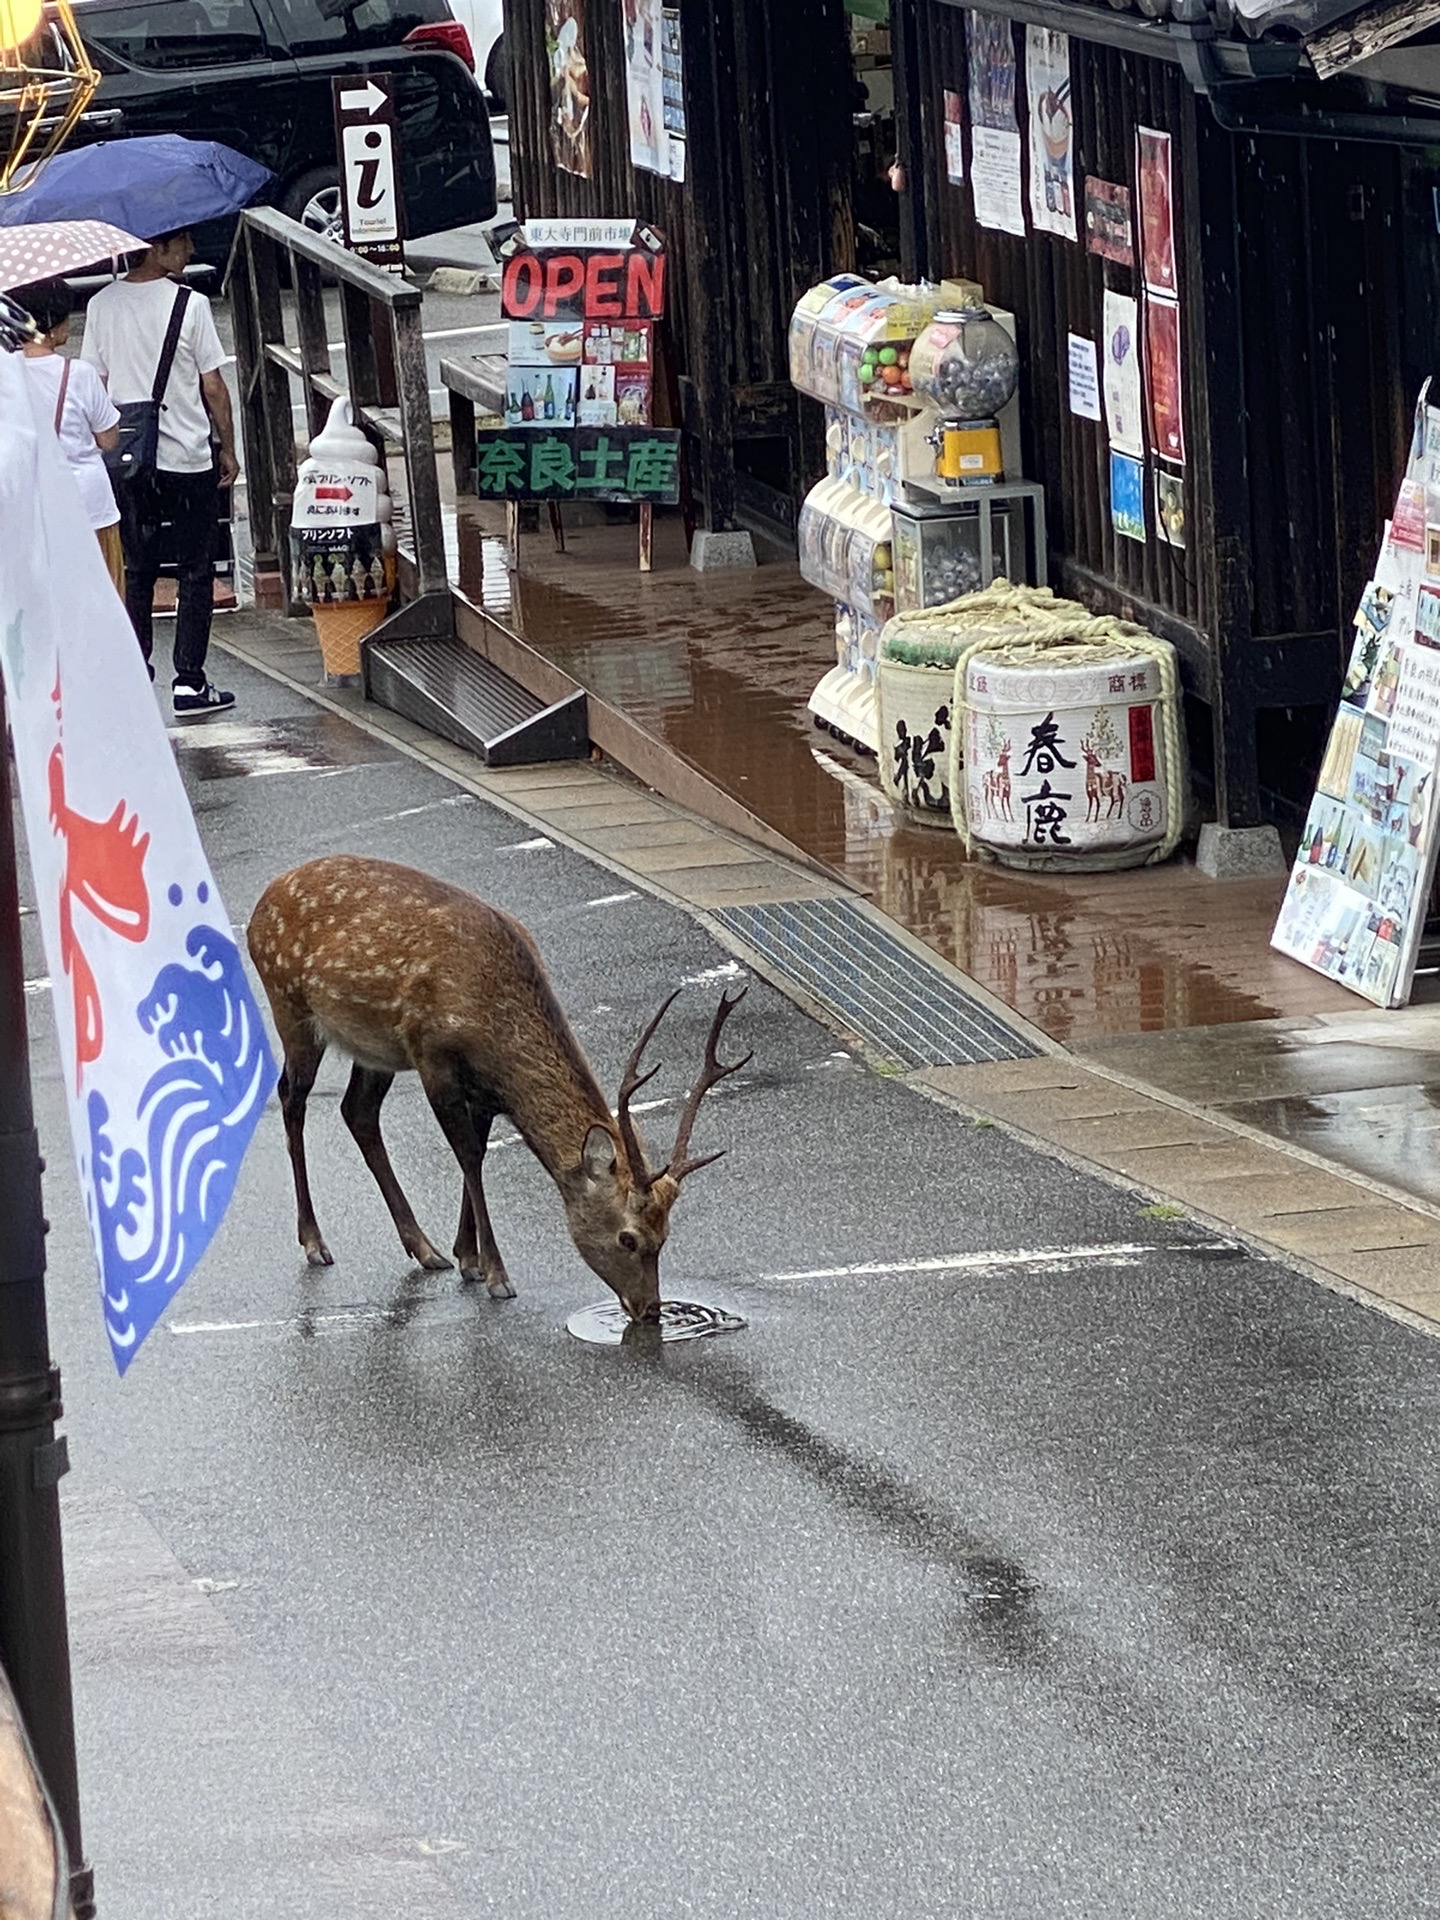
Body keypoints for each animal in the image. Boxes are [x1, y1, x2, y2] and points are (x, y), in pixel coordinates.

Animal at [245, 856, 756, 1320]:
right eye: (627, 1238)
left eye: (665, 1237)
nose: (649, 1309)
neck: (491, 1022)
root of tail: (261, 904)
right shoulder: (433, 1058)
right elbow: (469, 1156)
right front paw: (496, 1274)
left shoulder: (486, 1092)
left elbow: (477, 1153)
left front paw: (465, 1256)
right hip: (291, 1007)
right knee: (292, 1097)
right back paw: (315, 1241)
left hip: (373, 1047)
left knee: (358, 1112)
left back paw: (424, 1248)